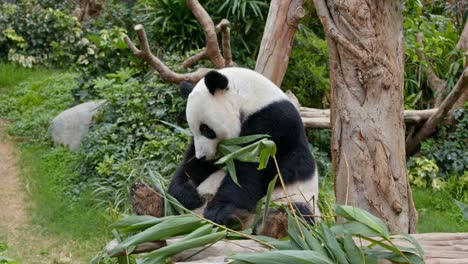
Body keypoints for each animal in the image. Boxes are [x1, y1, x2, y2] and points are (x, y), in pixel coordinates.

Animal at [166, 67, 320, 229]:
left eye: (205, 129)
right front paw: (187, 195)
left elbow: (255, 170)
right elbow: (192, 166)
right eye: (194, 130)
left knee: (295, 215)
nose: (203, 156)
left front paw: (218, 210)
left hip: (293, 199)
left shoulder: (275, 124)